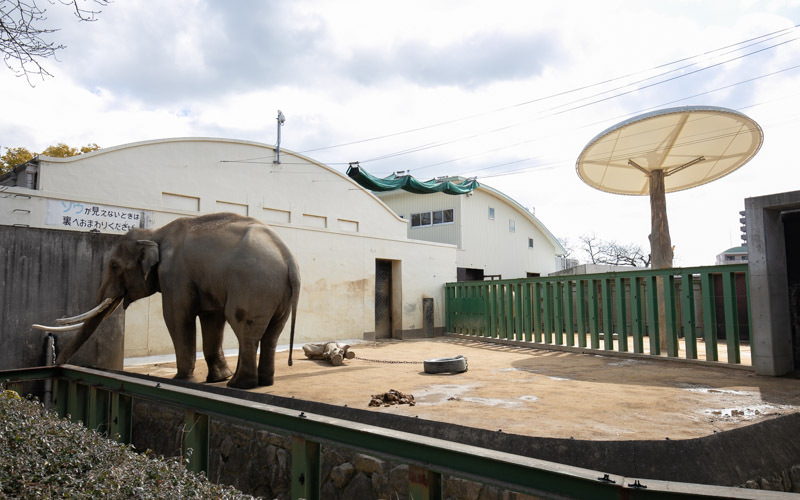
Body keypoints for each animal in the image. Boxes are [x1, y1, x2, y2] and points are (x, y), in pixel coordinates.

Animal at [39, 213, 300, 388]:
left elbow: (177, 316)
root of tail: (288, 258)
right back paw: (261, 382)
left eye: (113, 266)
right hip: (278, 295)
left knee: (244, 329)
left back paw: (239, 384)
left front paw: (182, 381)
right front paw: (216, 378)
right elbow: (212, 319)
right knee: (271, 334)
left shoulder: (175, 274)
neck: (154, 233)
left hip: (252, 287)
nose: (57, 365)